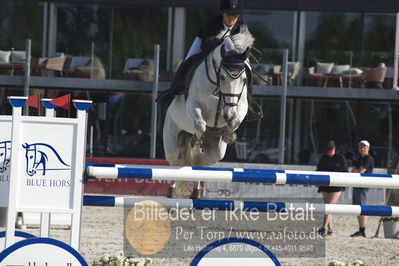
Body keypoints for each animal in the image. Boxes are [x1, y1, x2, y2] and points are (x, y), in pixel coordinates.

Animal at [162, 26, 253, 198]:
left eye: (244, 79)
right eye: (222, 77)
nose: (228, 114)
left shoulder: (241, 104)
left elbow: (236, 120)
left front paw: (229, 133)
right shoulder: (192, 104)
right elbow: (200, 123)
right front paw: (196, 138)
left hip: (214, 151)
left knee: (200, 164)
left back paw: (196, 192)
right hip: (172, 142)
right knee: (175, 163)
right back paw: (171, 192)